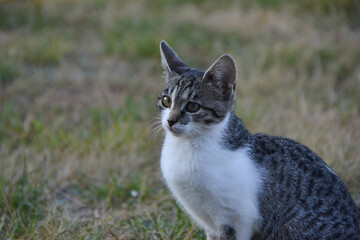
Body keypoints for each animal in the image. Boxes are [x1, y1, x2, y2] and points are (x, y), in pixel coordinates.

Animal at [158, 40, 360, 239]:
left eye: (193, 106)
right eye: (166, 101)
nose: (170, 120)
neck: (188, 145)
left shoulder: (237, 218)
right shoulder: (212, 226)